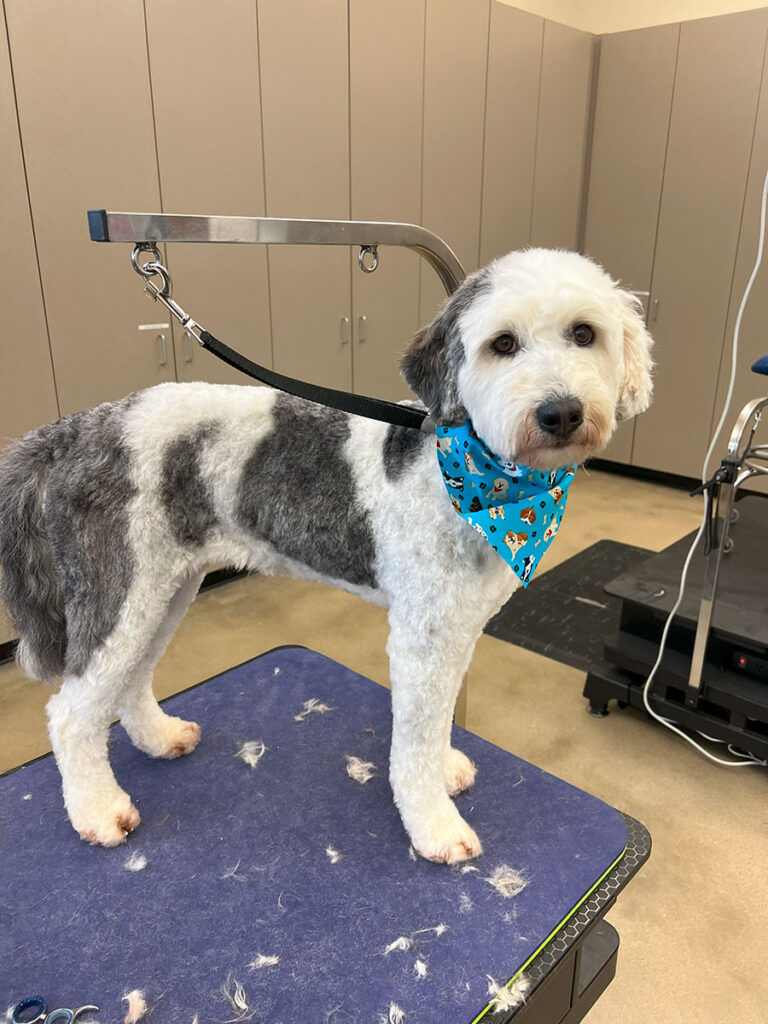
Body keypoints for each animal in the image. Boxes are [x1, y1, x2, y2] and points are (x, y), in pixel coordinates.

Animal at [0, 249, 655, 864]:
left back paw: (160, 739)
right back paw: (99, 812)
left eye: (584, 333)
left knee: (131, 676)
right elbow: (415, 737)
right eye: (503, 344)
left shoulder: (457, 627)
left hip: (166, 587)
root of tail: (73, 431)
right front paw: (435, 826)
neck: (479, 477)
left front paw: (445, 769)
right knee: (71, 713)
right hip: (122, 588)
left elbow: (439, 717)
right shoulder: (422, 636)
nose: (561, 412)